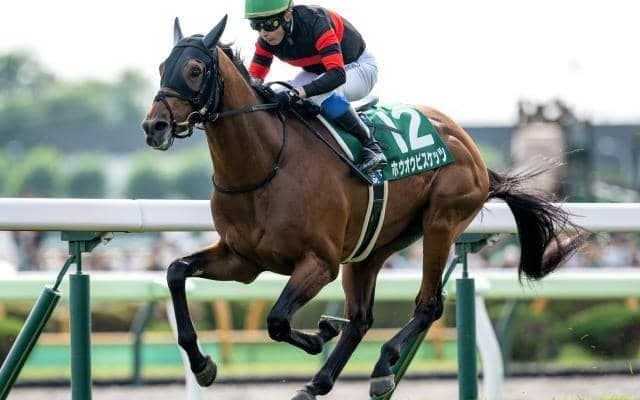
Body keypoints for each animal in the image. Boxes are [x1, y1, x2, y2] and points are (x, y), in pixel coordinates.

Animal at [141, 16, 585, 400]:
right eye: (163, 66)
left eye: (195, 70)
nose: (154, 127)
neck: (265, 165)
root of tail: (468, 145)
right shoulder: (243, 260)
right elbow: (176, 272)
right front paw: (203, 364)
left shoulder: (319, 262)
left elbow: (278, 320)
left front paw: (319, 333)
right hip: (372, 246)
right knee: (361, 318)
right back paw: (318, 383)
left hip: (441, 223)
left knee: (428, 304)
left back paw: (382, 367)